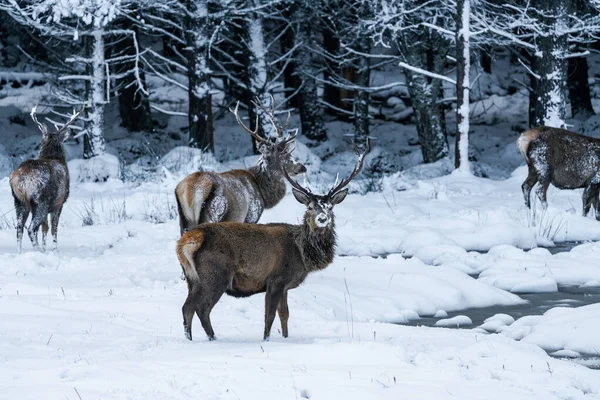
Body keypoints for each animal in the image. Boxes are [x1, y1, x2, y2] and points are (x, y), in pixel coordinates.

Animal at [9, 104, 85, 252]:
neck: (54, 157)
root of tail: (21, 178)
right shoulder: (59, 203)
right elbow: (53, 228)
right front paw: (54, 250)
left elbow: (45, 228)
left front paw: (45, 247)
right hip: (40, 200)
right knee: (31, 228)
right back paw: (38, 250)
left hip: (19, 201)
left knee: (19, 228)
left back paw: (20, 252)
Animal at [172, 95, 304, 236]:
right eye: (284, 156)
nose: (302, 167)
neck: (262, 193)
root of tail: (191, 191)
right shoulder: (251, 215)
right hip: (214, 211)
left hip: (184, 219)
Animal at [176, 139, 368, 340]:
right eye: (310, 207)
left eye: (330, 207)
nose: (322, 218)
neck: (302, 254)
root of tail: (188, 241)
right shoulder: (276, 279)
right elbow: (269, 316)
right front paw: (267, 339)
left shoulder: (284, 286)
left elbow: (284, 314)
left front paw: (285, 337)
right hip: (216, 275)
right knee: (202, 308)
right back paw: (213, 338)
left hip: (192, 278)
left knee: (186, 307)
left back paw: (189, 339)